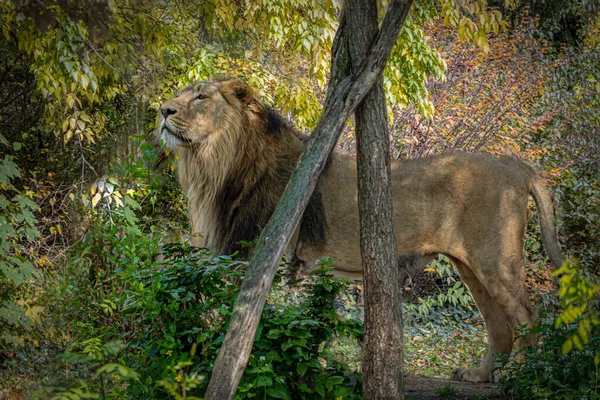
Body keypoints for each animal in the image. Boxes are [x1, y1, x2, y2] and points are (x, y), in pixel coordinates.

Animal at [158, 77, 564, 382]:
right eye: (182, 93)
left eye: (201, 96)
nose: (163, 110)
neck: (217, 167)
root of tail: (516, 165)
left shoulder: (268, 254)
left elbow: (251, 321)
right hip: (470, 266)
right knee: (499, 325)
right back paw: (480, 375)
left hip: (496, 260)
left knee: (528, 319)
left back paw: (520, 377)